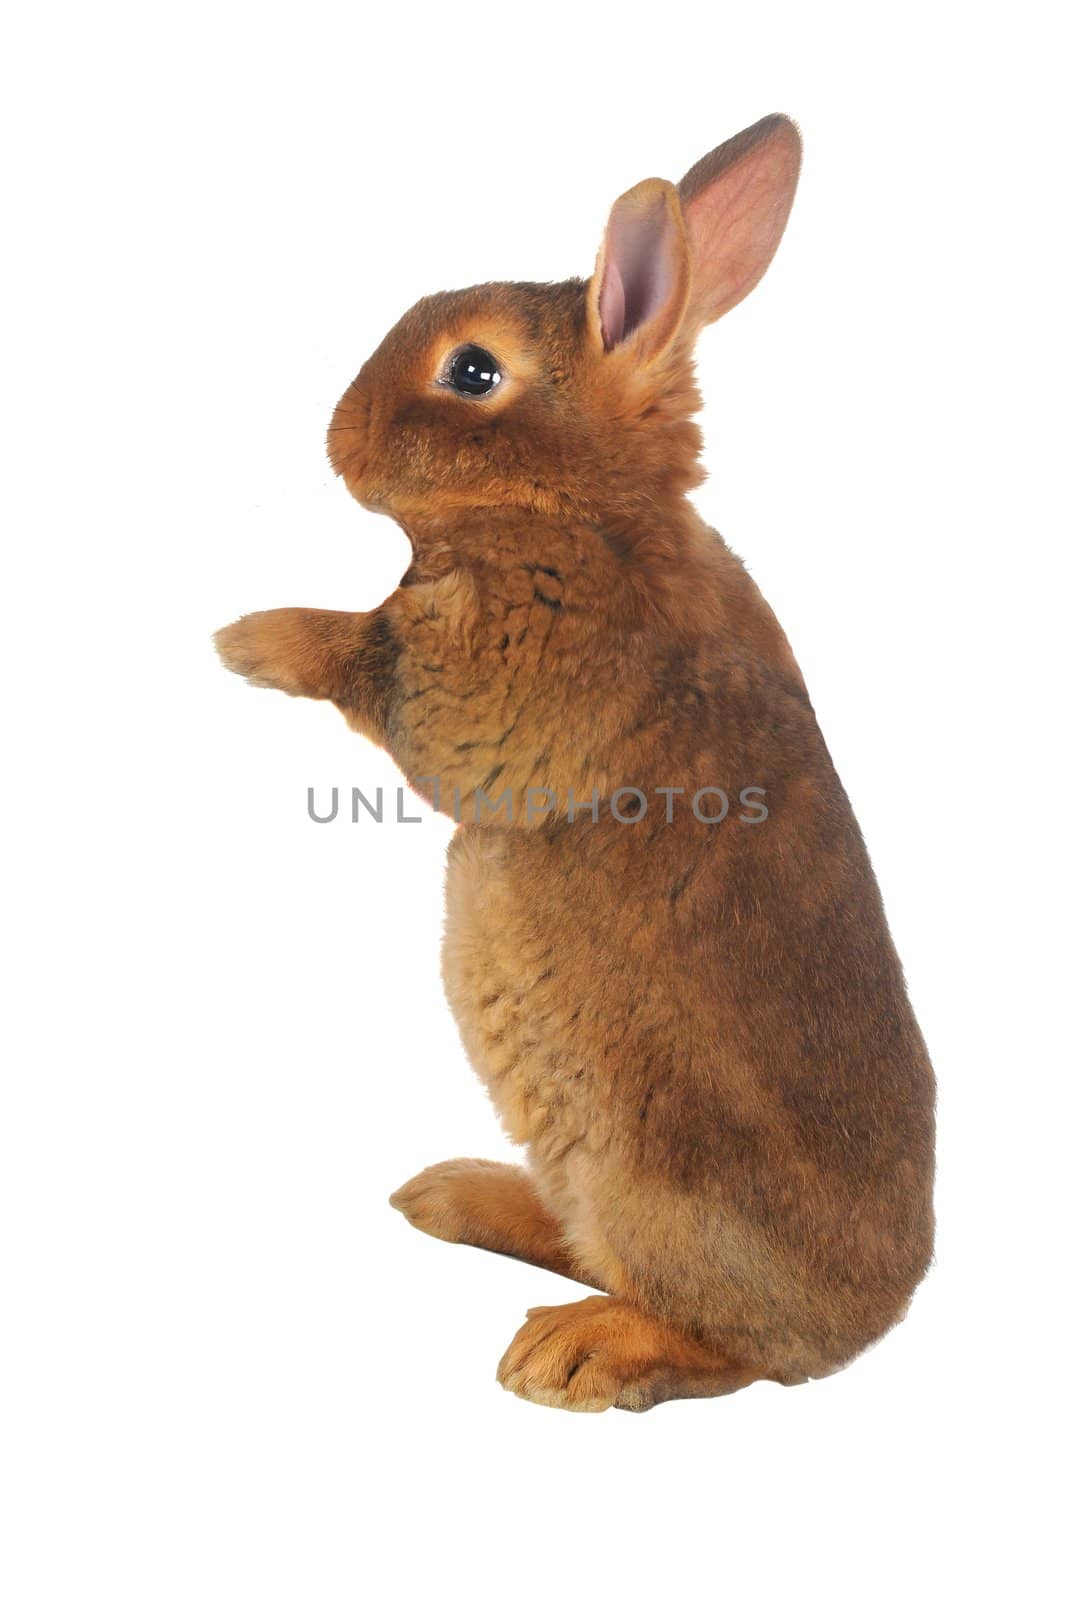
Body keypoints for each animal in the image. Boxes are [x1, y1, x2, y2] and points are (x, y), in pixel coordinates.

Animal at [217, 112, 934, 1414]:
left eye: (472, 373)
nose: (336, 435)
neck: (583, 511)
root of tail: (870, 1320)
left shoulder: (496, 680)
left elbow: (373, 656)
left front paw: (250, 638)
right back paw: (451, 1195)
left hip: (653, 1178)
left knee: (722, 1344)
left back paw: (574, 1348)